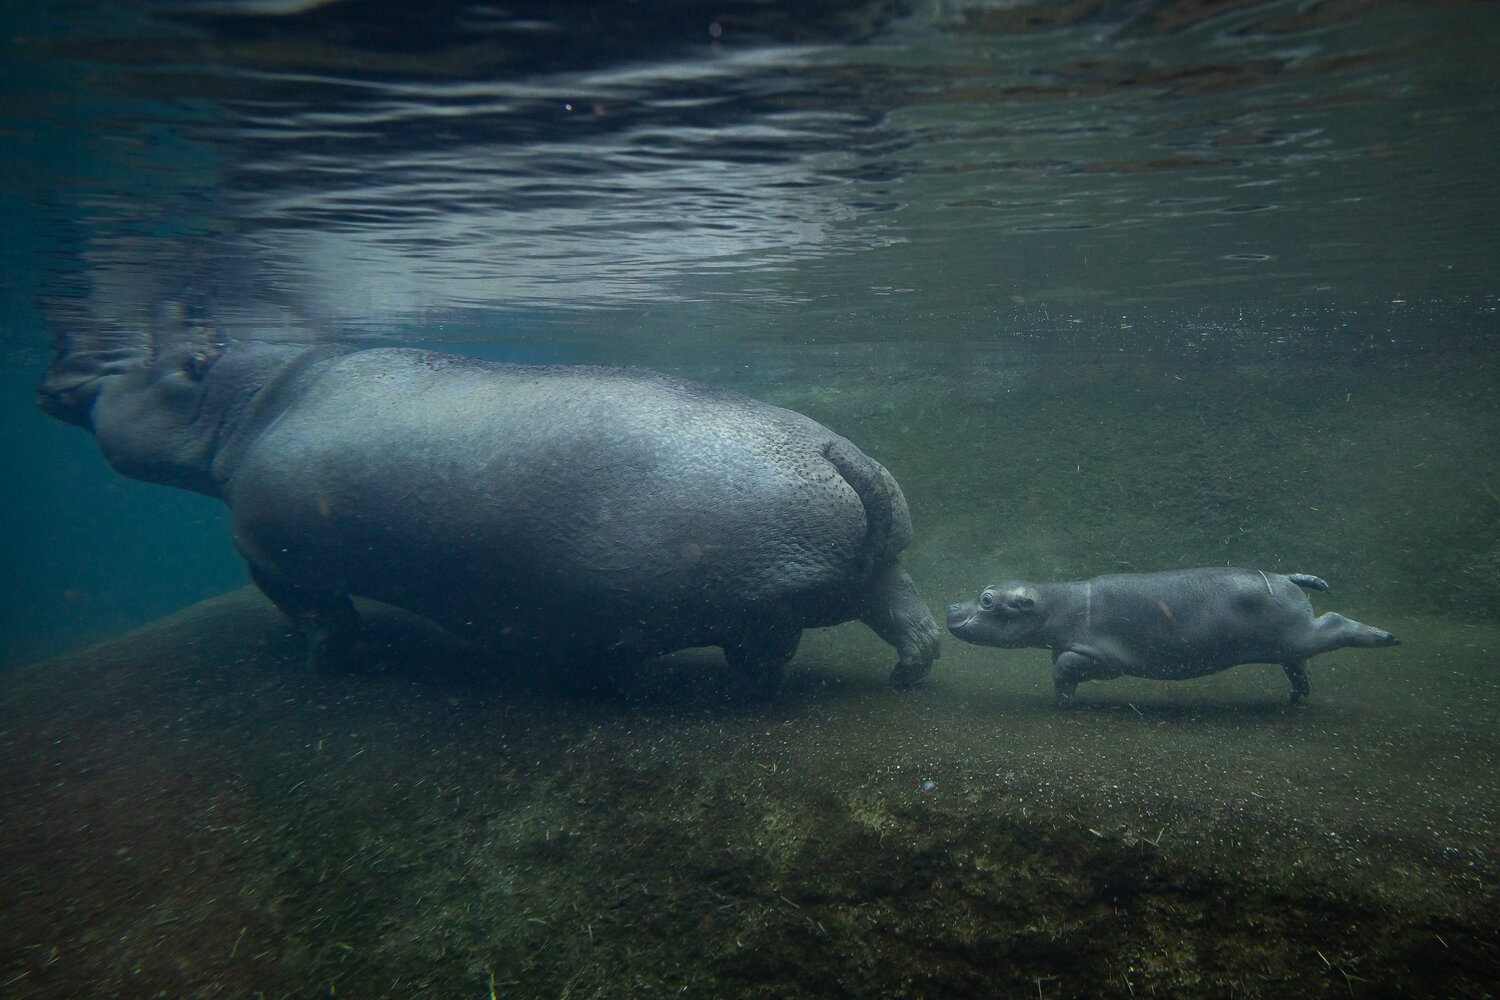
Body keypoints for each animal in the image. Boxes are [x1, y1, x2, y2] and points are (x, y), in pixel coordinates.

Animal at [40, 328, 940, 693]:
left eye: (153, 361)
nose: (63, 369)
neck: (245, 404)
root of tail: (838, 453)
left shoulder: (264, 548)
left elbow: (317, 614)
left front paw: (324, 665)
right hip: (878, 564)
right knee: (908, 617)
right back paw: (905, 676)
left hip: (751, 595)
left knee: (770, 647)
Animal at [947, 568, 1398, 706]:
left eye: (987, 599)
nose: (951, 608)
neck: (1055, 602)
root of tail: (1287, 575)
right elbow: (1060, 663)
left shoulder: (1104, 656)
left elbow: (1065, 667)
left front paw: (1062, 700)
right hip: (1288, 641)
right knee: (1299, 666)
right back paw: (1295, 696)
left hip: (1299, 633)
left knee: (1336, 623)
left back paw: (1387, 637)